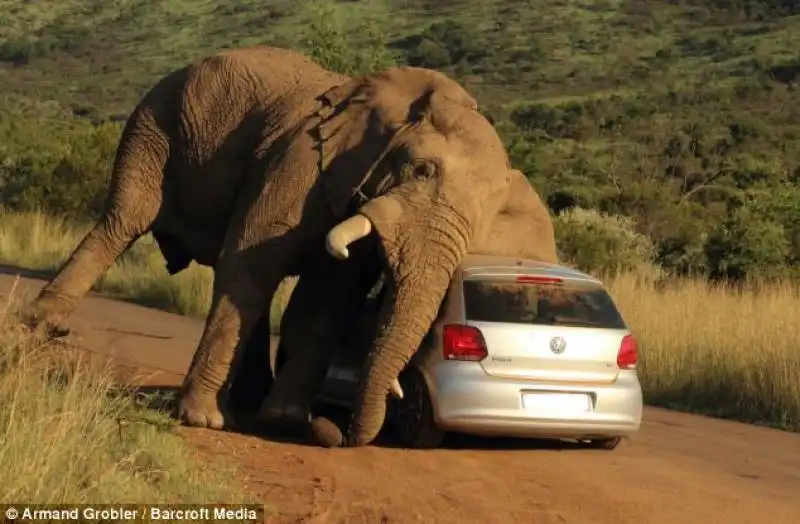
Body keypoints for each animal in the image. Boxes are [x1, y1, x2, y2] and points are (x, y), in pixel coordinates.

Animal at [18, 45, 556, 446]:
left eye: (489, 214)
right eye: (422, 170)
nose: (333, 432)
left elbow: (325, 294)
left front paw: (286, 420)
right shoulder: (303, 161)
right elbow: (252, 263)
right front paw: (204, 421)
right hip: (155, 122)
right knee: (123, 221)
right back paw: (41, 329)